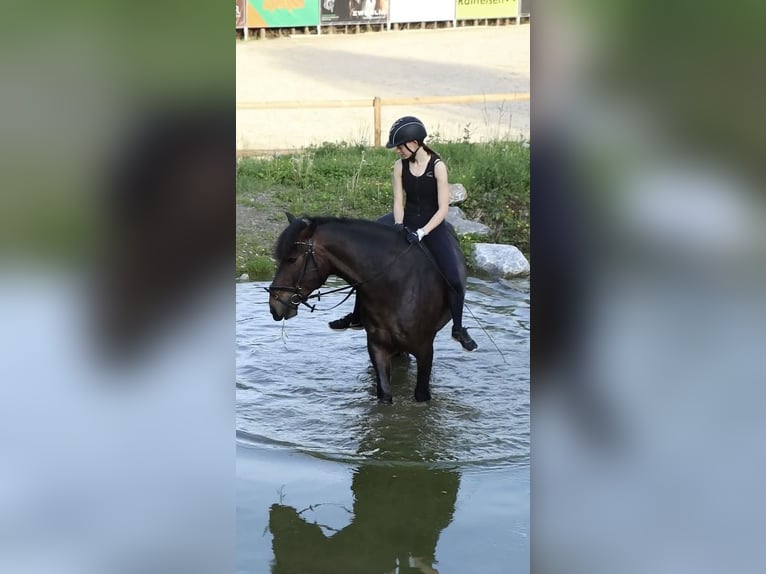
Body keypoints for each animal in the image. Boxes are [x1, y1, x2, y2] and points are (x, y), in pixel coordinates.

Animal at [270, 213, 468, 404]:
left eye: (292, 259)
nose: (274, 306)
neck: (395, 283)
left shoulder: (425, 350)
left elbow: (421, 395)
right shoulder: (377, 347)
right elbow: (384, 394)